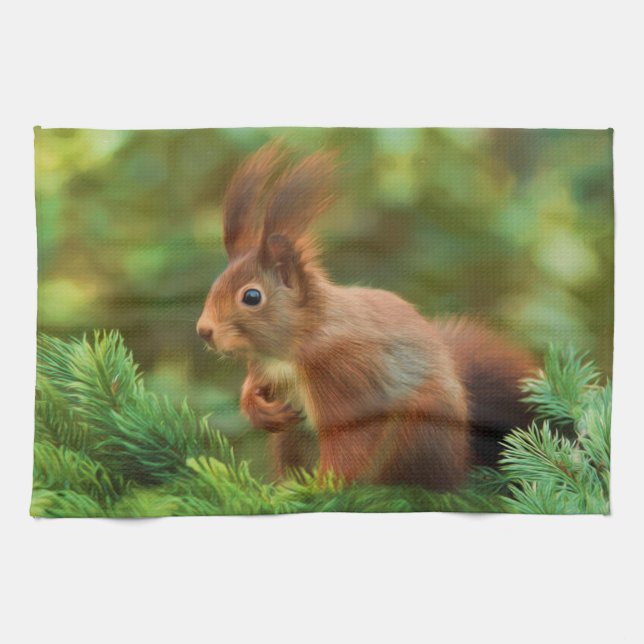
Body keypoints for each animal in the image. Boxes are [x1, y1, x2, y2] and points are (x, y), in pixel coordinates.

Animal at [197, 143, 536, 490]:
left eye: (251, 297)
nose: (203, 330)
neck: (294, 346)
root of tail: (460, 459)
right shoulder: (266, 367)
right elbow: (253, 386)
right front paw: (257, 408)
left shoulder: (343, 373)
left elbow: (349, 443)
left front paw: (322, 488)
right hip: (291, 438)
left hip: (419, 427)